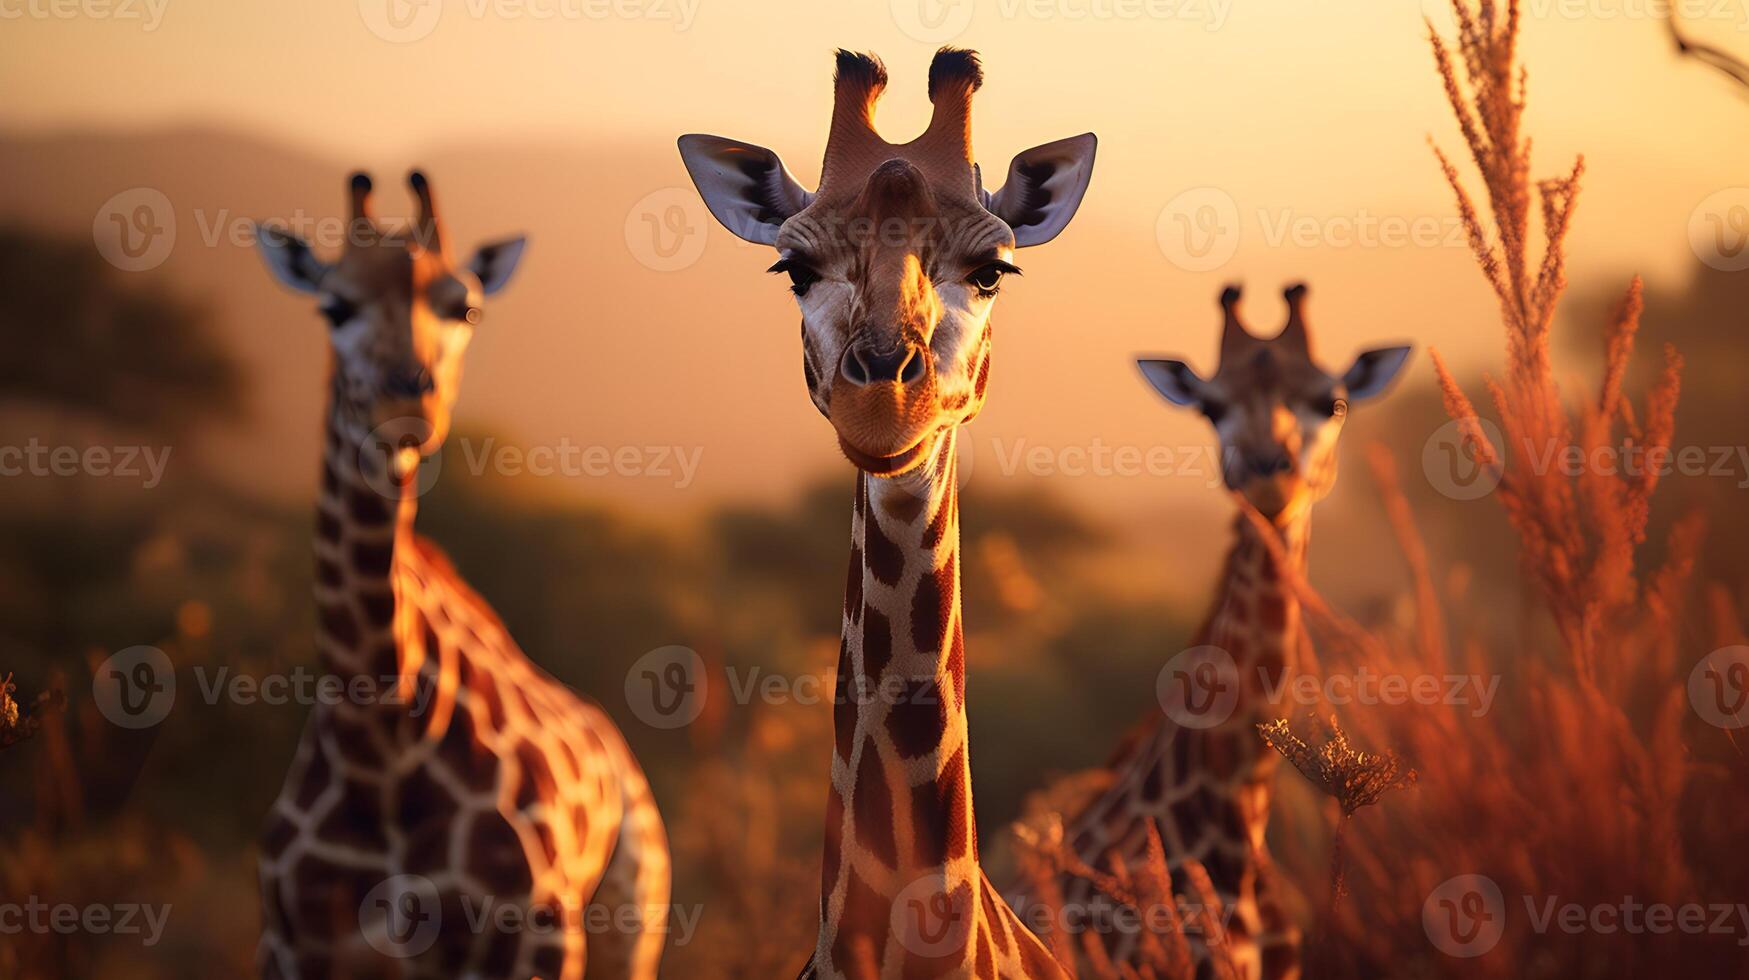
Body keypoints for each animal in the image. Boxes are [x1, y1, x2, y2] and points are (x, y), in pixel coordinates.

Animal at [253, 172, 668, 980]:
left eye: (464, 306)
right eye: (333, 306)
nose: (407, 399)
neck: (378, 750)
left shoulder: (534, 942)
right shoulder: (293, 948)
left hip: (630, 923)